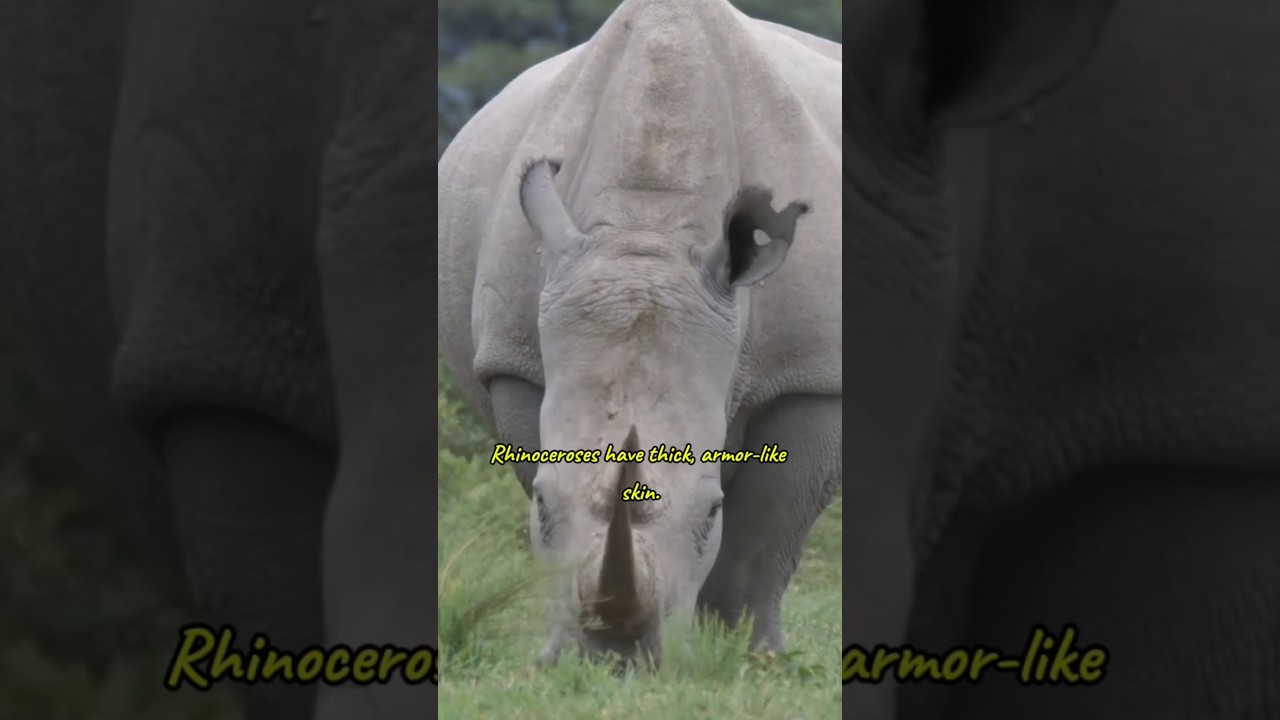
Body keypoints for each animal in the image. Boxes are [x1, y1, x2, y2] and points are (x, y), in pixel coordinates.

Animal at [438, 0, 841, 666]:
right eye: (541, 505)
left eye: (711, 512)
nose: (616, 659)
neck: (646, 228)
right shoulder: (515, 357)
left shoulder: (812, 372)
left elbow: (766, 533)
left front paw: (747, 659)